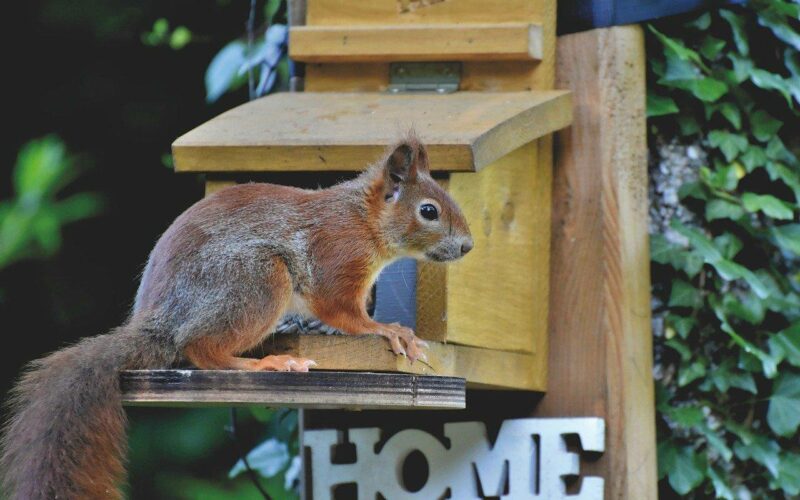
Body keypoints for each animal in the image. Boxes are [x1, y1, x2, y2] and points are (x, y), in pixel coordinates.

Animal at [0, 133, 472, 500]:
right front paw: (391, 330)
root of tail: (160, 323)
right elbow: (341, 311)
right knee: (201, 349)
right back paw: (266, 362)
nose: (468, 246)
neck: (364, 221)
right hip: (256, 280)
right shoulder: (336, 259)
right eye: (429, 211)